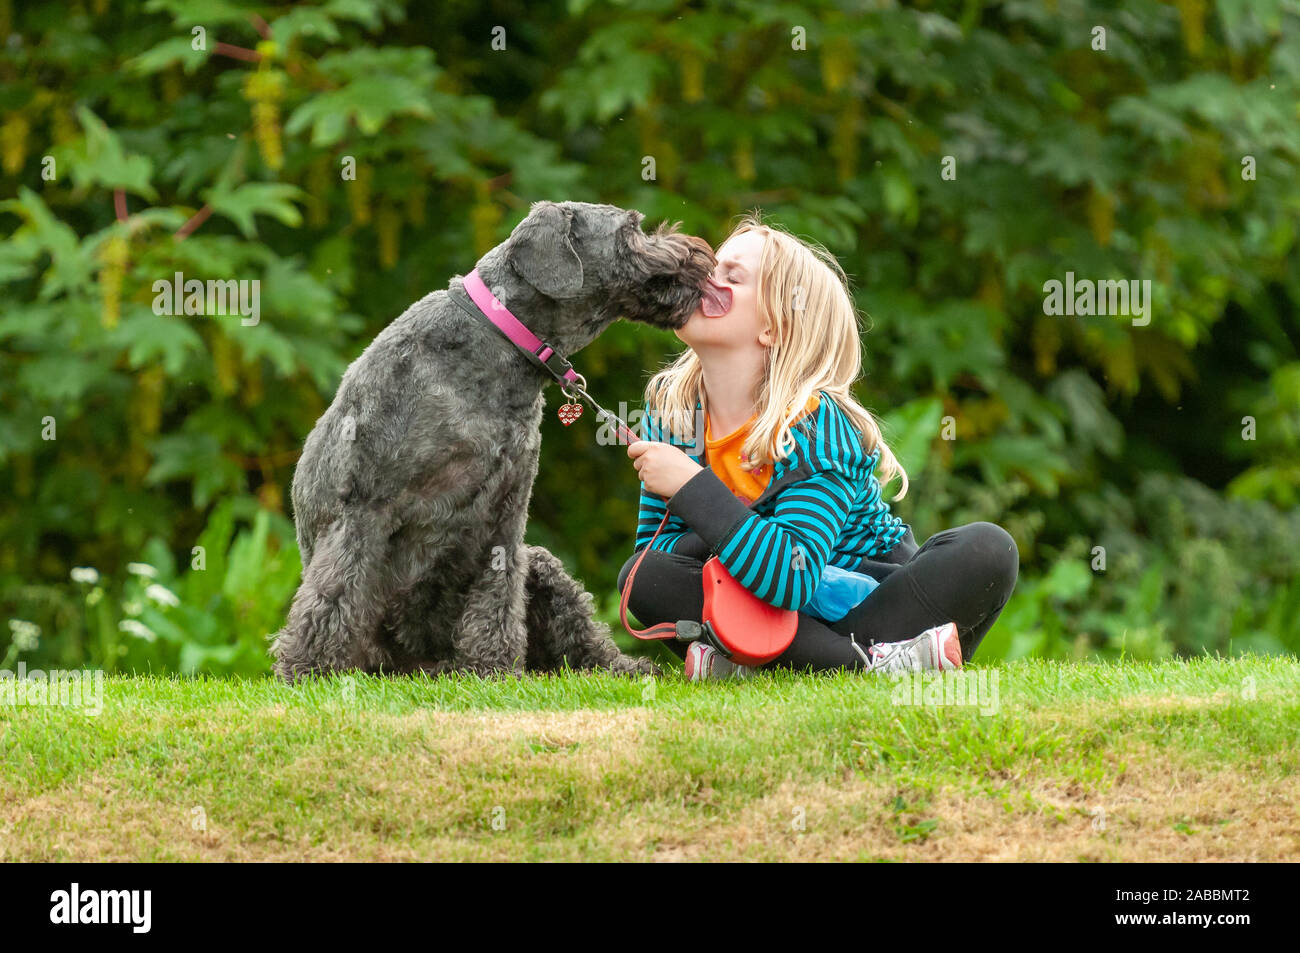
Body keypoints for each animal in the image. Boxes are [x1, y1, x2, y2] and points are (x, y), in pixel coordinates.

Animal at [270, 198, 717, 676]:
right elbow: (335, 590)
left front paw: (493, 667)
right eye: (631, 229)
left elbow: (497, 596)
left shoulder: (507, 515)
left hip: (541, 563)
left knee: (581, 639)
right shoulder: (365, 506)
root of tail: (425, 664)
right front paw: (309, 666)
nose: (702, 254)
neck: (498, 340)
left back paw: (622, 666)